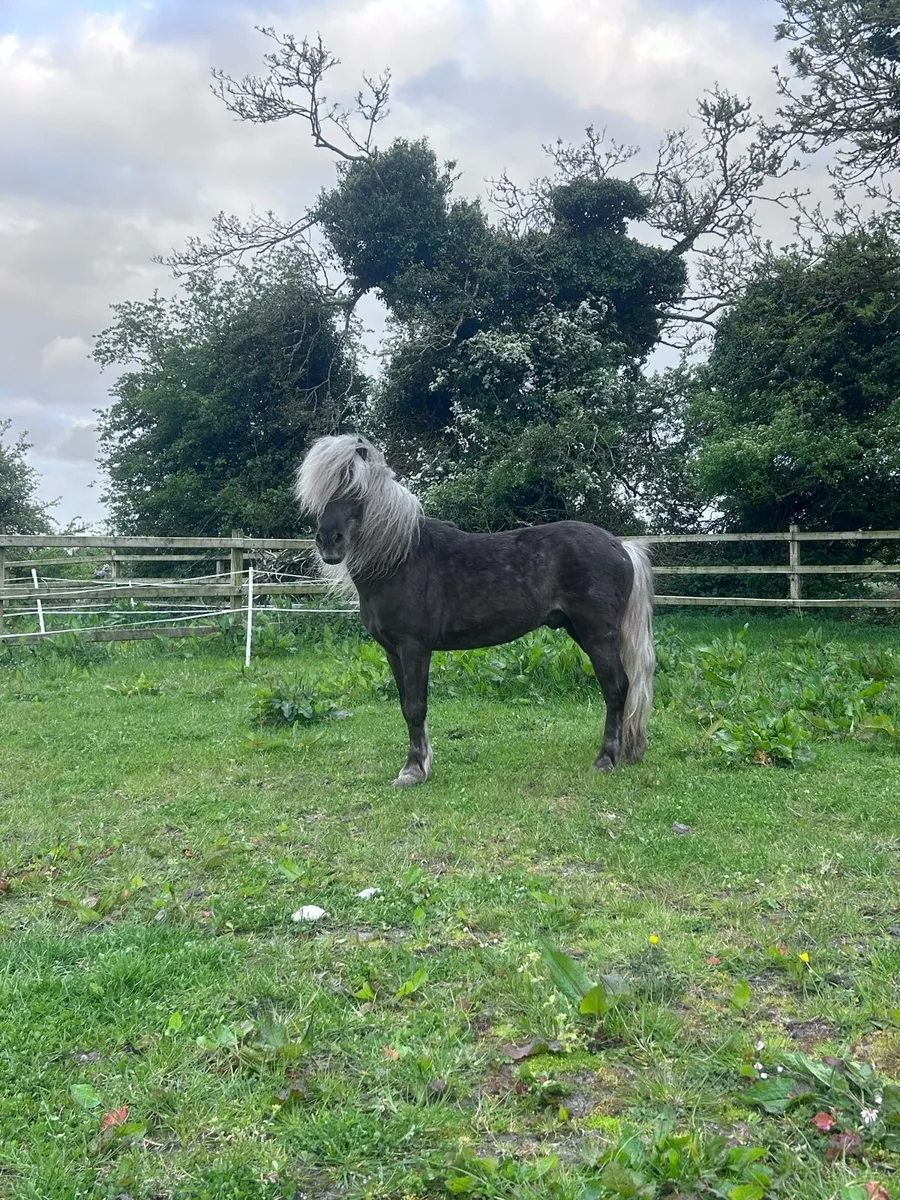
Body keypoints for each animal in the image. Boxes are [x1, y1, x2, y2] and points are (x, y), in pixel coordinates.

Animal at [295, 434, 655, 787]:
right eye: (320, 492)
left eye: (356, 489)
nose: (328, 541)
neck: (399, 558)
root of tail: (621, 546)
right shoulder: (391, 650)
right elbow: (405, 706)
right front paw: (420, 764)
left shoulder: (414, 647)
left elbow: (415, 707)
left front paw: (413, 770)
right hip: (580, 630)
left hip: (596, 635)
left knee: (616, 688)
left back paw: (605, 759)